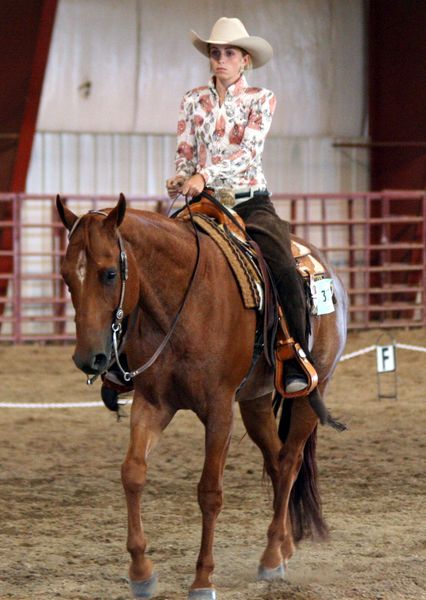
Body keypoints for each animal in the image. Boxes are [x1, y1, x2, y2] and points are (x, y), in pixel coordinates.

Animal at [56, 195, 348, 596]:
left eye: (110, 273)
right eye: (66, 276)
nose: (89, 359)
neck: (183, 303)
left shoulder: (219, 411)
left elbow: (210, 491)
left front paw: (202, 579)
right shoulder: (153, 404)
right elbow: (133, 473)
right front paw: (141, 573)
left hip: (310, 393)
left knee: (289, 463)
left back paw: (272, 557)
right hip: (255, 402)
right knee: (276, 462)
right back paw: (284, 547)